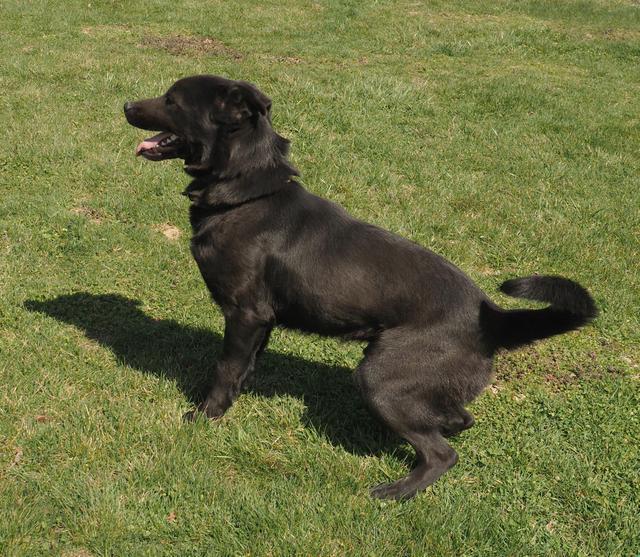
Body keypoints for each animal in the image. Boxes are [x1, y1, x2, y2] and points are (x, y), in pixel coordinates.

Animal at [124, 75, 596, 500]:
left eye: (171, 100)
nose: (127, 104)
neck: (247, 196)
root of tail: (491, 319)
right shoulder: (262, 322)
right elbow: (245, 367)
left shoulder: (245, 314)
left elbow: (225, 370)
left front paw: (206, 416)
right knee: (459, 420)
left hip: (380, 380)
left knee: (442, 453)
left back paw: (396, 491)